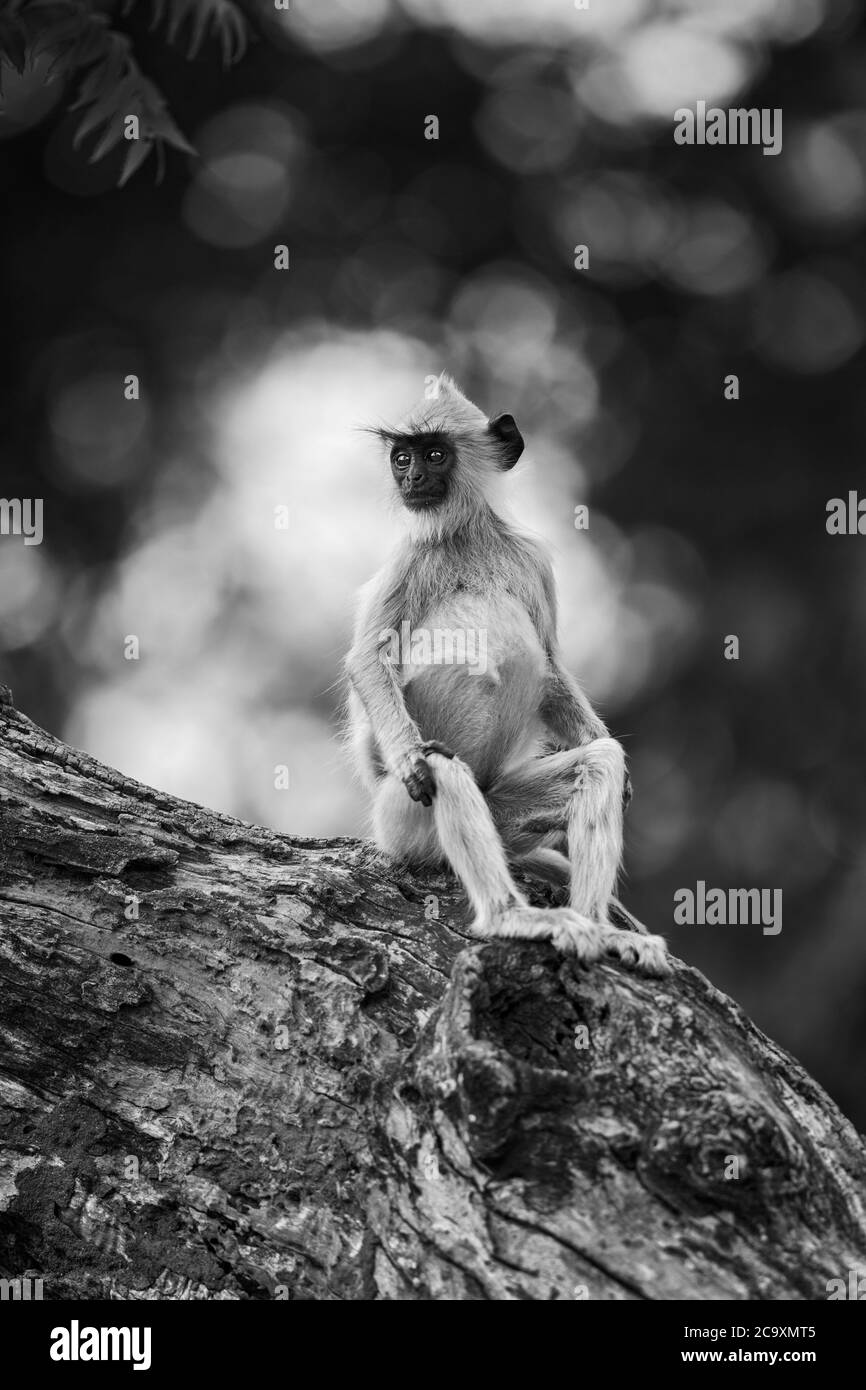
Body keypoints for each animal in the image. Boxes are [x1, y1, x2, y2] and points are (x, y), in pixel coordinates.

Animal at [346, 375, 670, 973]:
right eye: (402, 457)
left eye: (433, 454)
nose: (412, 478)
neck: (463, 536)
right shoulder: (410, 556)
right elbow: (366, 660)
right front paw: (406, 757)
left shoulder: (530, 559)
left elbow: (551, 668)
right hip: (399, 821)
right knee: (440, 765)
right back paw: (510, 917)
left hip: (501, 810)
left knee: (599, 763)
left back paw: (597, 925)